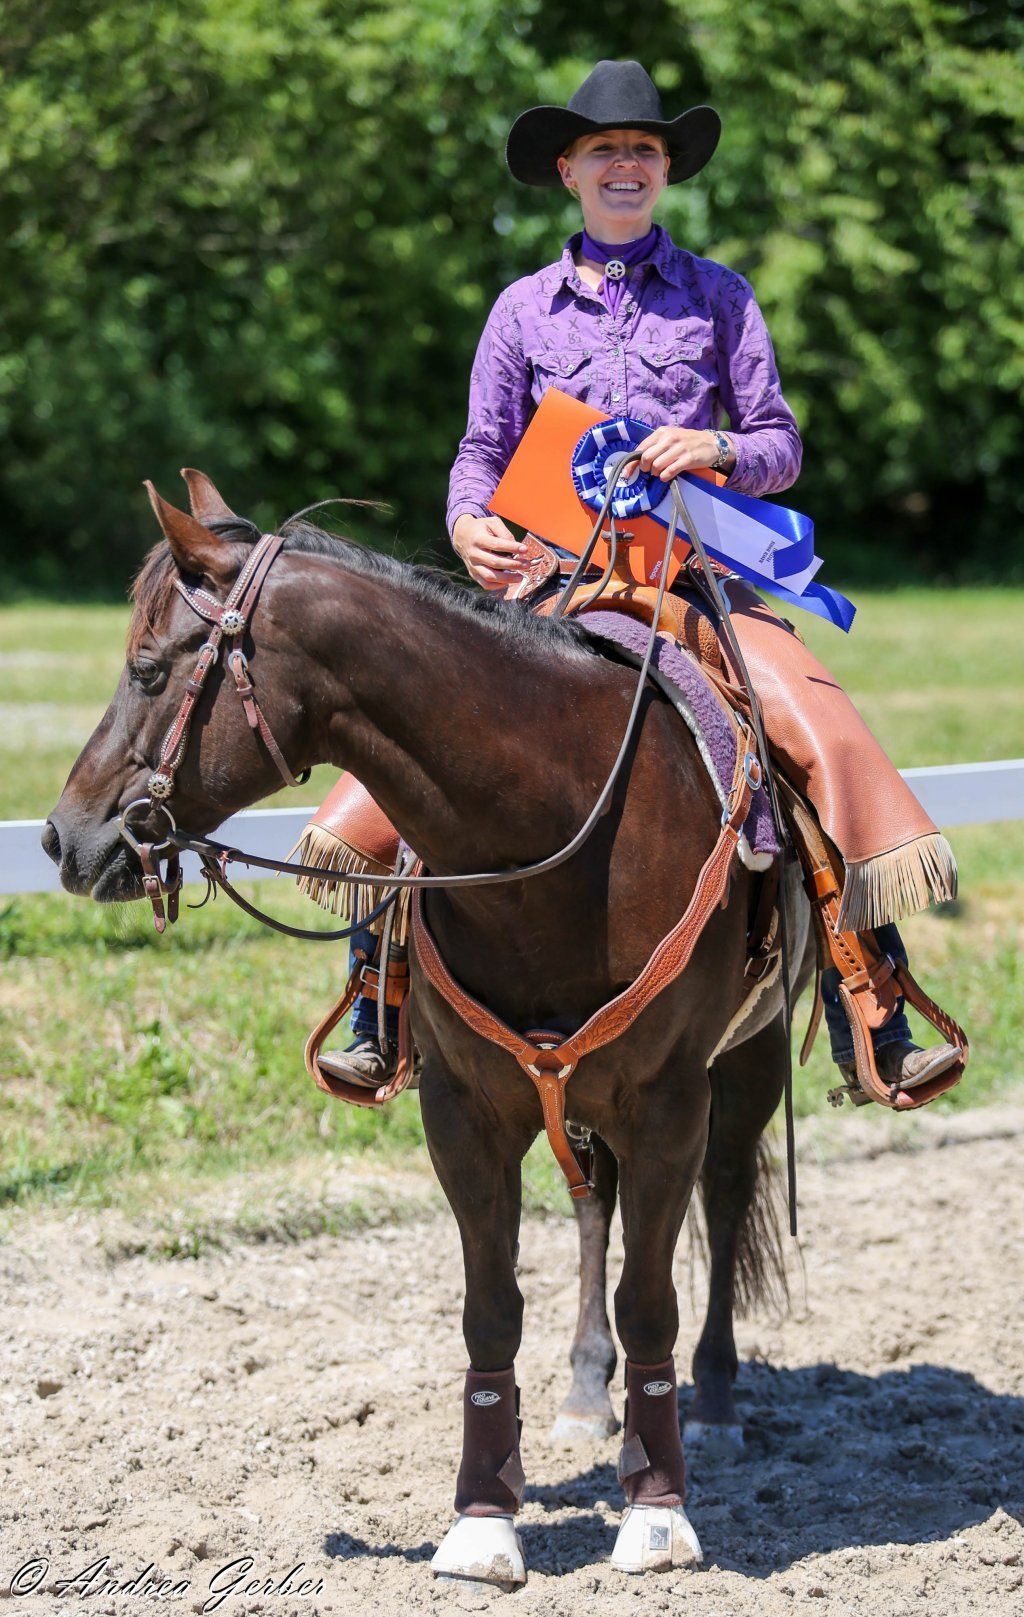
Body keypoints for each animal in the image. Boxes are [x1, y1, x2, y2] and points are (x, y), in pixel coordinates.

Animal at [43, 471, 811, 1587]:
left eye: (148, 668)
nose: (64, 837)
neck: (556, 830)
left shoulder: (671, 1099)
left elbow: (652, 1295)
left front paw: (657, 1512)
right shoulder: (465, 1110)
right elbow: (491, 1308)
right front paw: (483, 1520)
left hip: (743, 1065)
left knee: (724, 1191)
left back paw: (711, 1399)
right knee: (596, 1208)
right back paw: (588, 1391)